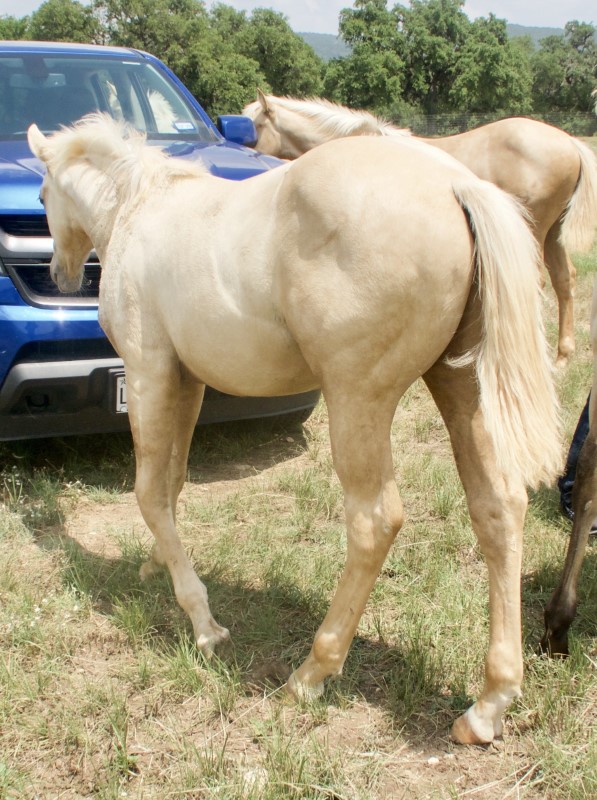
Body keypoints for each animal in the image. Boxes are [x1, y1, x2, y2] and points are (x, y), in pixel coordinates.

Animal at [242, 93, 596, 366]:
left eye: (254, 126)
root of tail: (569, 142)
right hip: (552, 234)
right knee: (565, 278)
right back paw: (562, 356)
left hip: (534, 230)